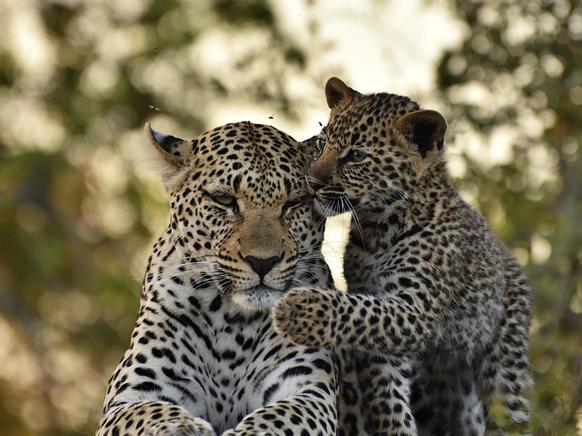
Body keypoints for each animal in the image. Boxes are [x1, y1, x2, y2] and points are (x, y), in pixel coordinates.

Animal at [96, 121, 346, 436]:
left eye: (294, 202)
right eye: (224, 200)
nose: (262, 262)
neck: (232, 320)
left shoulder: (310, 391)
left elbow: (280, 417)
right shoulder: (133, 394)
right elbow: (152, 413)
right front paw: (185, 427)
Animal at [274, 76, 532, 434]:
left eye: (355, 156)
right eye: (323, 143)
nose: (312, 182)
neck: (378, 227)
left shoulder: (415, 308)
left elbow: (360, 311)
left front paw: (299, 309)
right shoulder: (379, 332)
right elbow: (387, 398)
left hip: (506, 359)